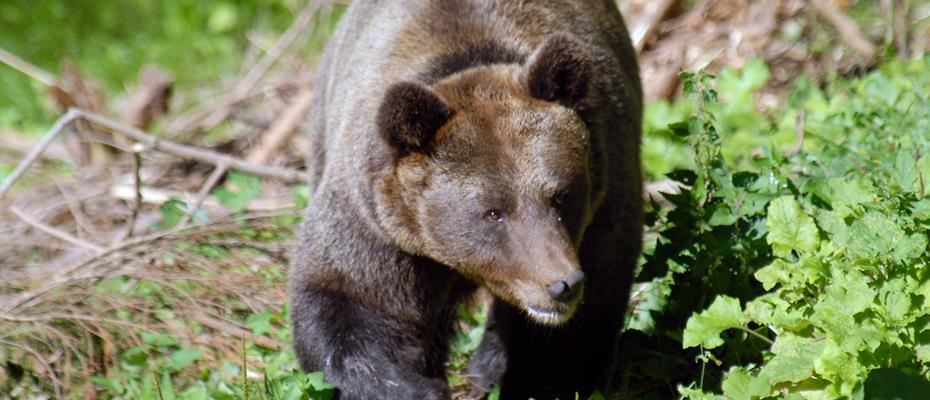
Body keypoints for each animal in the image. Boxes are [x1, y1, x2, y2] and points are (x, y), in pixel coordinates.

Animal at [288, 1, 640, 398]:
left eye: (562, 195)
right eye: (492, 212)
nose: (562, 284)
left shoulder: (603, 203)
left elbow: (575, 332)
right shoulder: (377, 225)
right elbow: (350, 301)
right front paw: (418, 386)